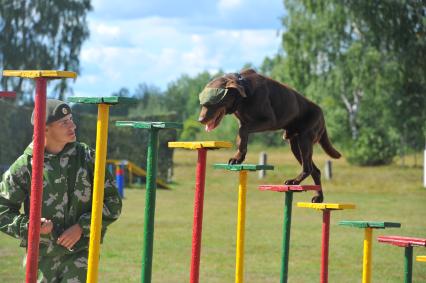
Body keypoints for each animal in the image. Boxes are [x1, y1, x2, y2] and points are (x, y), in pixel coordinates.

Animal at [198, 69, 342, 203]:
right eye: (203, 104)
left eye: (212, 103)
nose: (200, 120)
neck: (244, 93)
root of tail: (322, 114)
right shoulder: (243, 121)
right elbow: (241, 136)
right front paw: (238, 157)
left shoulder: (269, 120)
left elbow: (243, 131)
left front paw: (238, 157)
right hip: (295, 145)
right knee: (315, 170)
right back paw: (318, 197)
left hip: (305, 139)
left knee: (308, 167)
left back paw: (294, 181)